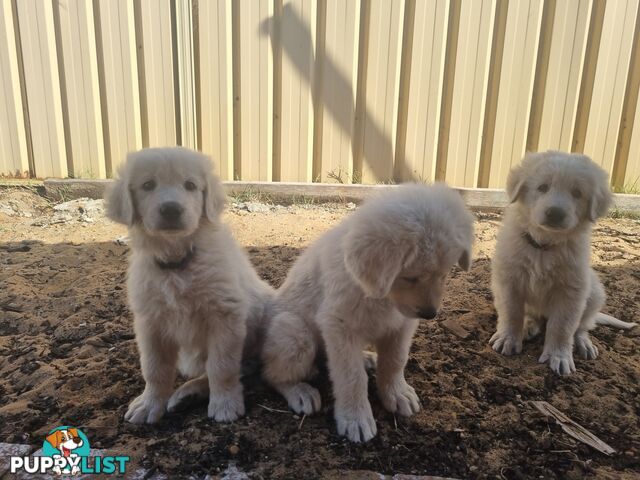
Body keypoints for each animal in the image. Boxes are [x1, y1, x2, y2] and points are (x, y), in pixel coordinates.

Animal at [104, 147, 272, 424]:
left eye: (190, 185)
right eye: (148, 185)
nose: (171, 209)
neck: (177, 263)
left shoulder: (225, 315)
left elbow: (222, 366)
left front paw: (225, 404)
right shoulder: (150, 323)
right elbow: (154, 368)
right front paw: (150, 404)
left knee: (242, 366)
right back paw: (185, 395)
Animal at [260, 183, 476, 442]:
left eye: (444, 274)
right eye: (410, 277)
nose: (429, 314)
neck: (380, 296)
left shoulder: (402, 325)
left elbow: (396, 360)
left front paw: (397, 393)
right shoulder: (339, 326)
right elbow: (351, 377)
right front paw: (356, 418)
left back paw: (366, 358)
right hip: (294, 334)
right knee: (271, 374)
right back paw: (300, 391)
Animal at [490, 150, 636, 376]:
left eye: (577, 193)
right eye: (542, 187)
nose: (555, 213)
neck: (544, 245)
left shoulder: (571, 291)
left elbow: (562, 327)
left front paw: (558, 357)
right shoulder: (509, 280)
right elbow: (512, 312)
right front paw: (508, 339)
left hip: (594, 292)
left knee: (583, 326)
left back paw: (584, 344)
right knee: (533, 315)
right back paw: (528, 325)